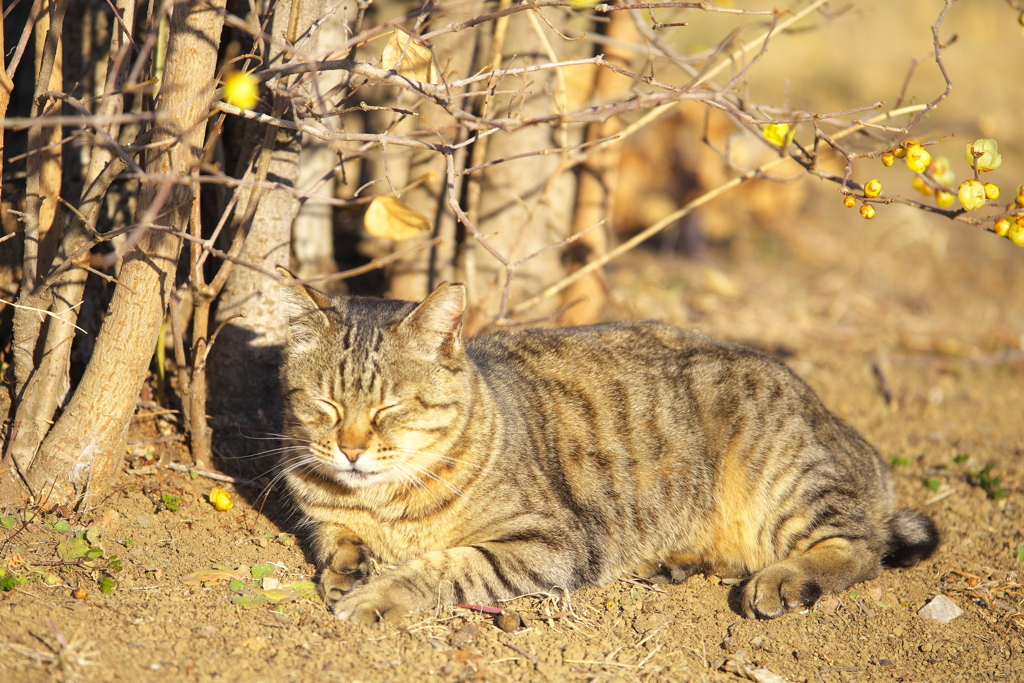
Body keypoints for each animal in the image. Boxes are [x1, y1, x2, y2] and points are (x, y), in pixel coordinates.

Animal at [278, 274, 937, 626]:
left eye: (389, 408)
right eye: (326, 405)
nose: (350, 449)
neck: (381, 503)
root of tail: (842, 425)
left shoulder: (548, 542)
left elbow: (448, 566)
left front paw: (376, 594)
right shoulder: (324, 514)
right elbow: (334, 536)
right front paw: (347, 569)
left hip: (783, 476)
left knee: (860, 545)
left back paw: (783, 578)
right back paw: (673, 562)